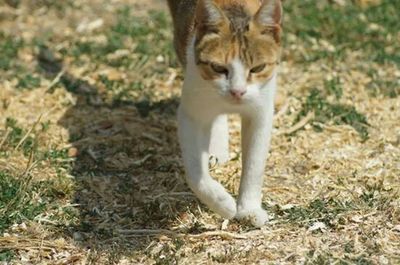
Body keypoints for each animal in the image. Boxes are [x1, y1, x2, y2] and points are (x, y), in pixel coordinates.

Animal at [167, 0, 282, 227]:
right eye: (218, 68)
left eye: (257, 68)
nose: (237, 92)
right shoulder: (190, 114)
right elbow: (195, 174)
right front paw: (223, 204)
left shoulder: (261, 113)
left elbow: (254, 165)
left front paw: (249, 209)